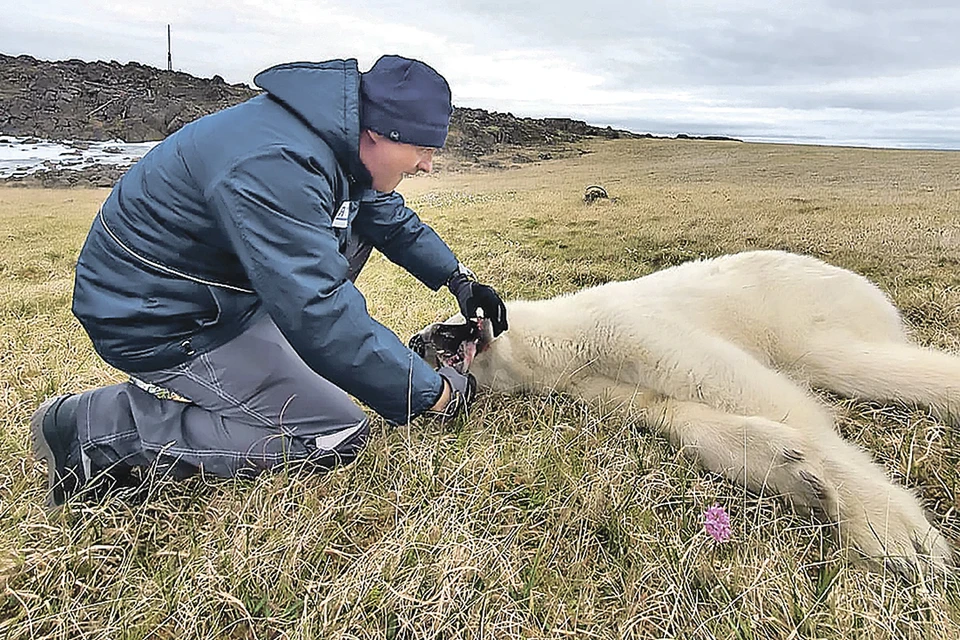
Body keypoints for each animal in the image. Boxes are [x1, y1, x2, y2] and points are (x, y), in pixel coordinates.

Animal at [410, 249, 952, 576]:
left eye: (449, 321)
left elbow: (739, 386)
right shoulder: (595, 382)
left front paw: (892, 530)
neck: (560, 341)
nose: (419, 338)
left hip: (805, 309)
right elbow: (673, 413)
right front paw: (795, 473)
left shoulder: (625, 327)